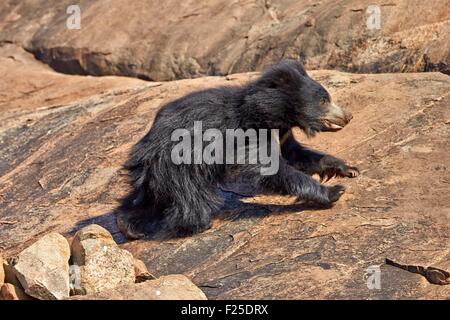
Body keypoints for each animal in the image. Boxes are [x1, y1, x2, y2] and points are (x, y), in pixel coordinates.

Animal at [118, 60, 360, 239]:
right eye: (324, 101)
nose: (349, 116)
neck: (274, 114)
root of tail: (144, 148)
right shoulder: (247, 133)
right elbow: (270, 169)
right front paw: (334, 192)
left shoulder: (282, 133)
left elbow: (296, 154)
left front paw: (347, 169)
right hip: (177, 162)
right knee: (191, 196)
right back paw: (197, 224)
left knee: (146, 197)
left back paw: (128, 226)